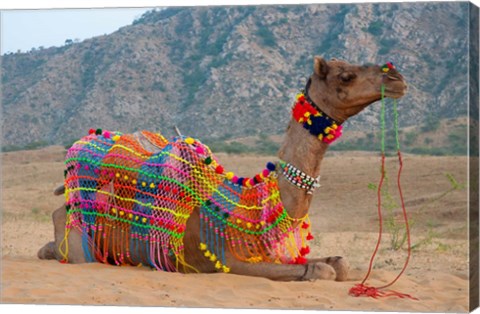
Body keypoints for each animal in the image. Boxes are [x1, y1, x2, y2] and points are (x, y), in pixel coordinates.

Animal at [37, 56, 406, 282]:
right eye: (346, 75)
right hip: (80, 239)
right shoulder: (229, 261)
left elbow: (339, 264)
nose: (396, 76)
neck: (255, 200)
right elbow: (320, 271)